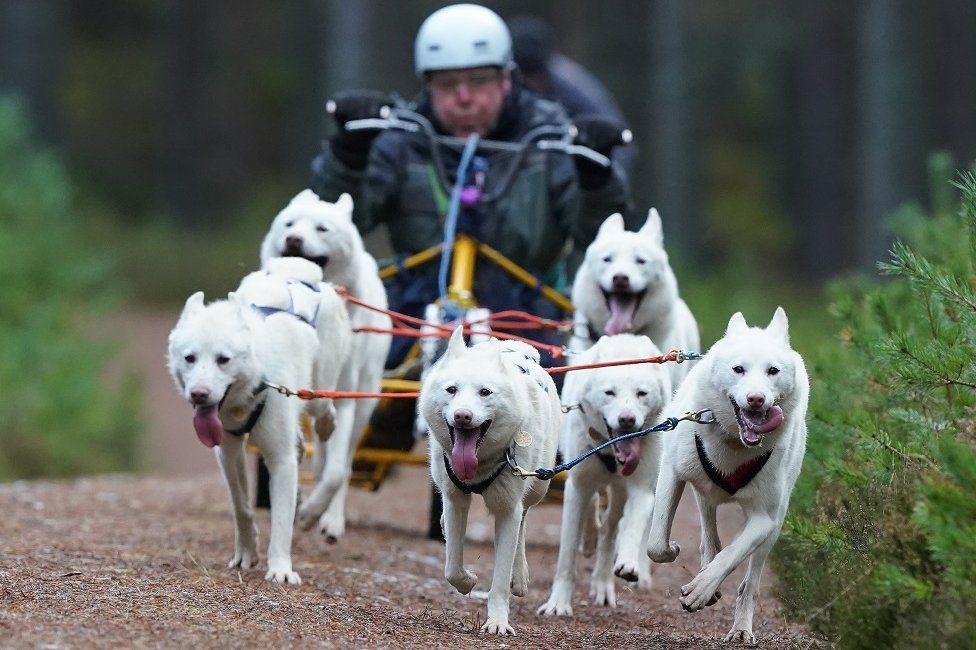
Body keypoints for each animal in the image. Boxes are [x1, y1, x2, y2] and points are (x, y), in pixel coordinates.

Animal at [167, 256, 350, 584]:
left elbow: (281, 520)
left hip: (316, 388)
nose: (199, 394)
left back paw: (327, 426)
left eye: (223, 359)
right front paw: (246, 552)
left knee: (324, 406)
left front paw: (280, 568)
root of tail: (297, 271)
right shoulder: (228, 453)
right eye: (190, 358)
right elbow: (241, 506)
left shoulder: (280, 460)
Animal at [264, 189, 396, 540]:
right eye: (289, 224)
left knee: (344, 464)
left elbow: (336, 472)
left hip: (364, 403)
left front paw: (313, 513)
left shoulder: (345, 397)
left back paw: (331, 519)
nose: (294, 239)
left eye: (321, 229)